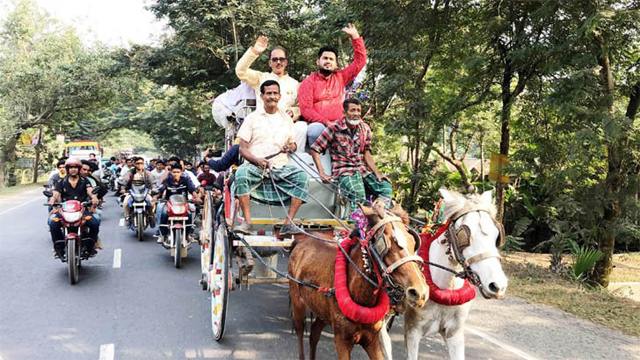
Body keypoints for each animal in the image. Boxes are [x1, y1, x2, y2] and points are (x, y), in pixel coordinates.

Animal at [288, 204, 428, 358]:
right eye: (386, 243)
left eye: (413, 242)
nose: (419, 292)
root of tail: (301, 241)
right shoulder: (341, 342)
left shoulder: (372, 340)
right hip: (297, 301)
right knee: (300, 330)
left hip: (322, 312)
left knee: (314, 333)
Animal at [380, 190, 510, 358]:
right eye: (465, 235)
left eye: (496, 236)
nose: (498, 285)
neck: (446, 287)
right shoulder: (412, 331)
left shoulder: (454, 333)